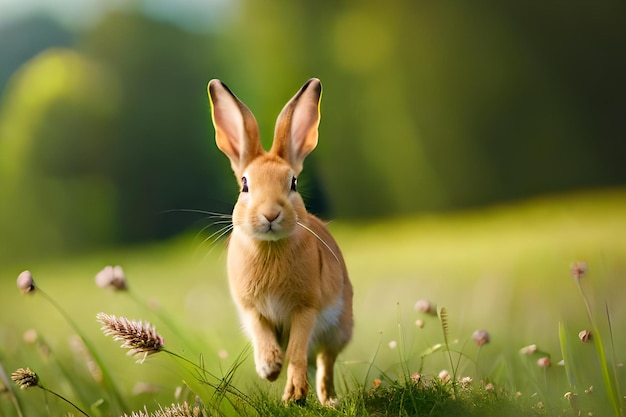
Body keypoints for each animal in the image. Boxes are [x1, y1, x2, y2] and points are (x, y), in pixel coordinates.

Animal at [206, 78, 352, 404]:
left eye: (293, 182)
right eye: (245, 185)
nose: (270, 214)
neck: (270, 247)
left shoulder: (305, 308)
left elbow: (297, 350)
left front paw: (294, 394)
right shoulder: (251, 308)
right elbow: (261, 334)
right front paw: (269, 368)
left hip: (339, 329)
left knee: (325, 362)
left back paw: (328, 400)